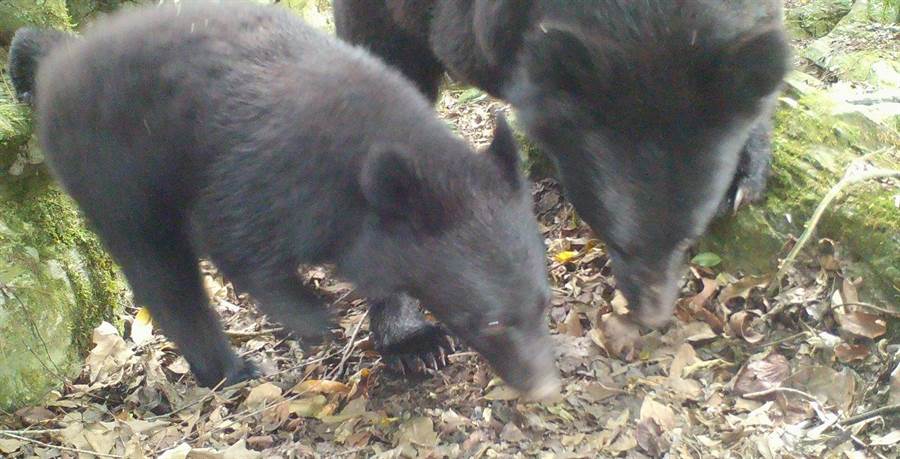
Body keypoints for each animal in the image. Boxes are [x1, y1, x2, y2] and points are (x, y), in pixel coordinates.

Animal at [8, 0, 556, 398]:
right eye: (489, 321)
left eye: (543, 302)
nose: (546, 388)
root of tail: (61, 56)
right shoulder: (263, 175)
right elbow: (235, 242)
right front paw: (317, 318)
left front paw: (416, 343)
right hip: (111, 169)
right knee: (163, 274)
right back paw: (228, 367)